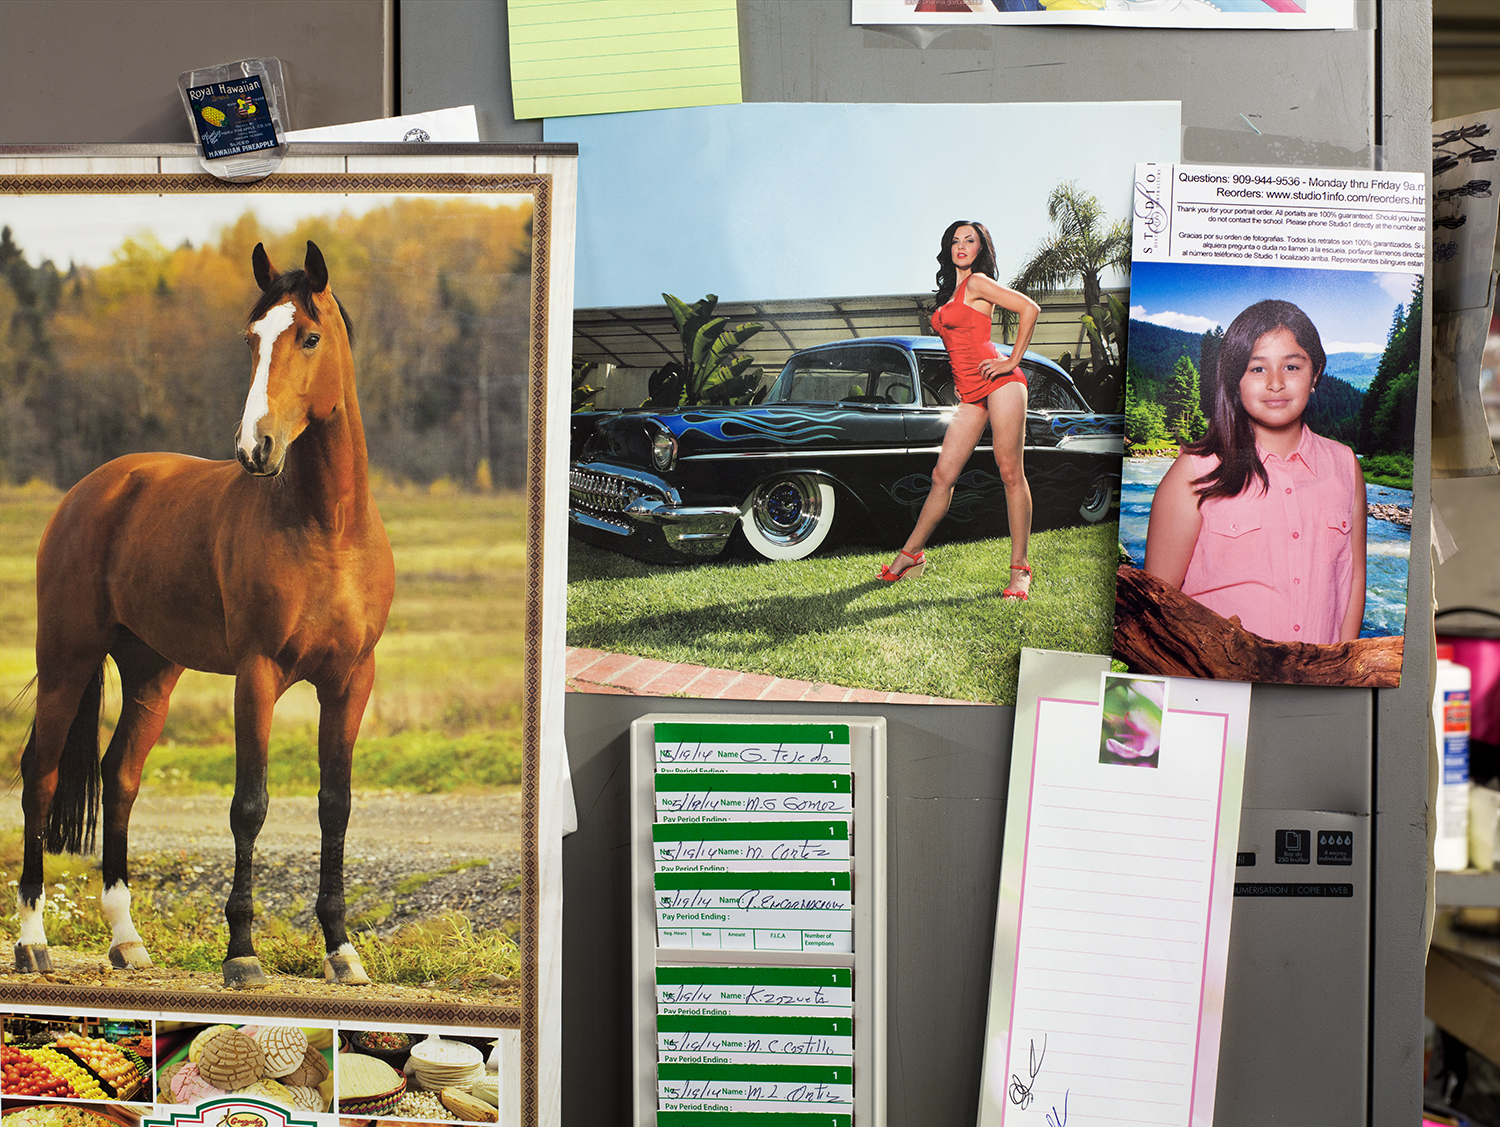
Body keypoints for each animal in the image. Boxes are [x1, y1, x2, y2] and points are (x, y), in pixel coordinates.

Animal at [19, 240, 393, 984]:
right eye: (251, 338)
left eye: (309, 337)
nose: (256, 449)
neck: (329, 528)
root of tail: (92, 489)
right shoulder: (258, 674)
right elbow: (249, 805)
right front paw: (242, 952)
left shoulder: (350, 682)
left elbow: (334, 806)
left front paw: (341, 948)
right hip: (67, 659)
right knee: (38, 776)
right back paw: (31, 940)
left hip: (151, 672)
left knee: (120, 777)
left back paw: (127, 939)